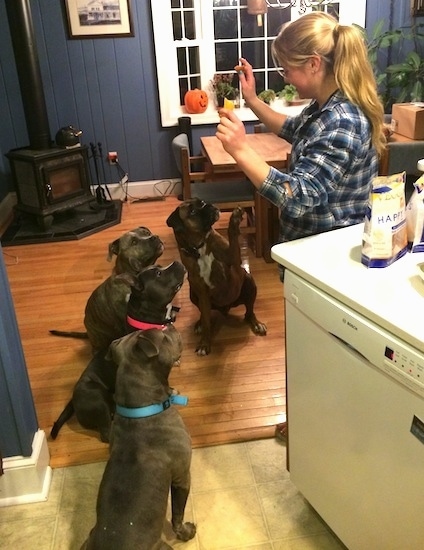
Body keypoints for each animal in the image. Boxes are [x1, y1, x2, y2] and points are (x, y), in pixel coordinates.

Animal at [49, 260, 186, 446]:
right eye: (158, 274)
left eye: (159, 267)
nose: (177, 261)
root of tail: (73, 401)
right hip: (97, 397)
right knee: (106, 433)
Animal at [81, 328, 197, 550]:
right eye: (163, 334)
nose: (170, 325)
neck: (140, 411)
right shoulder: (182, 475)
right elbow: (178, 513)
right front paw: (186, 532)